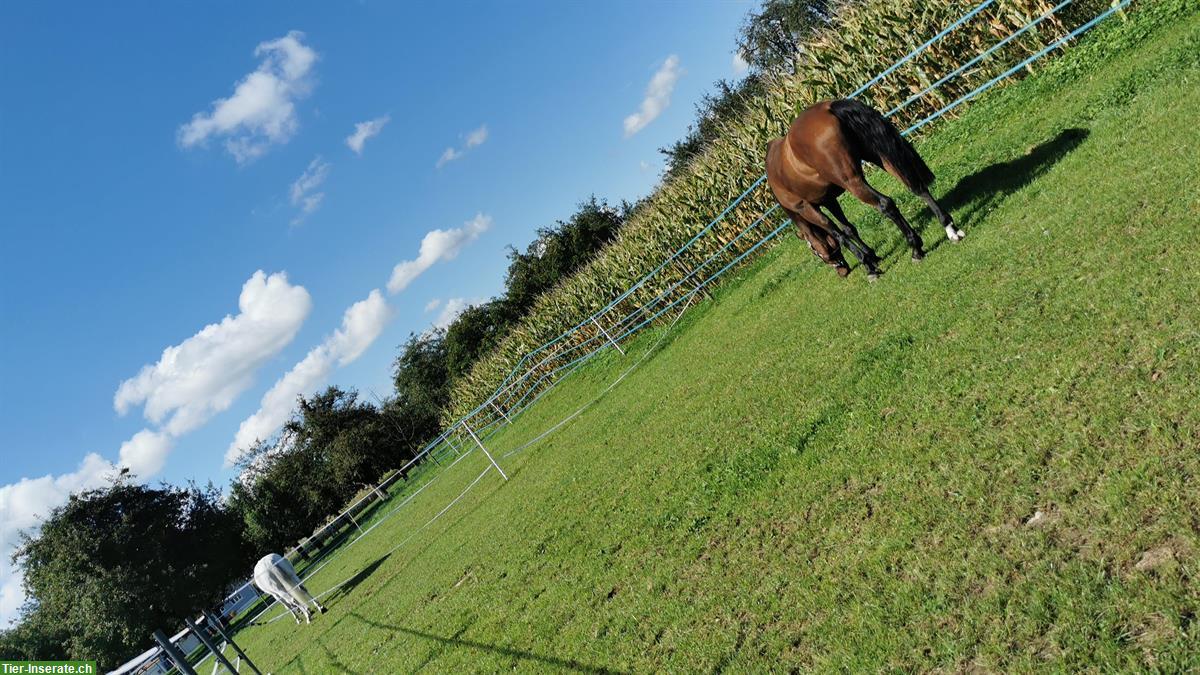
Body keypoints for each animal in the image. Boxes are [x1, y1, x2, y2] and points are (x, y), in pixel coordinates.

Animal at [768, 97, 964, 278]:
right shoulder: (829, 200)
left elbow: (839, 234)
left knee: (885, 204)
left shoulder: (806, 208)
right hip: (881, 158)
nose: (842, 272)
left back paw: (916, 249)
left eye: (816, 252)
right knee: (917, 187)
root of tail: (829, 108)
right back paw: (950, 230)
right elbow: (848, 228)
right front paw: (872, 256)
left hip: (853, 182)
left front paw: (869, 266)